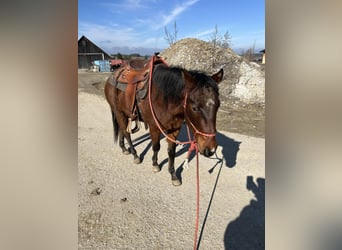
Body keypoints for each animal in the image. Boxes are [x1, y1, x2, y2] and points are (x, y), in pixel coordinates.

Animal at [104, 56, 223, 186]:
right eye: (194, 107)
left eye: (218, 105)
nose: (210, 149)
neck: (164, 98)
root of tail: (113, 75)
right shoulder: (154, 127)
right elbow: (156, 147)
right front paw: (155, 164)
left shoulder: (174, 129)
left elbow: (171, 152)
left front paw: (173, 174)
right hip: (118, 111)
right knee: (126, 133)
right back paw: (135, 155)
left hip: (125, 113)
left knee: (122, 129)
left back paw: (124, 148)